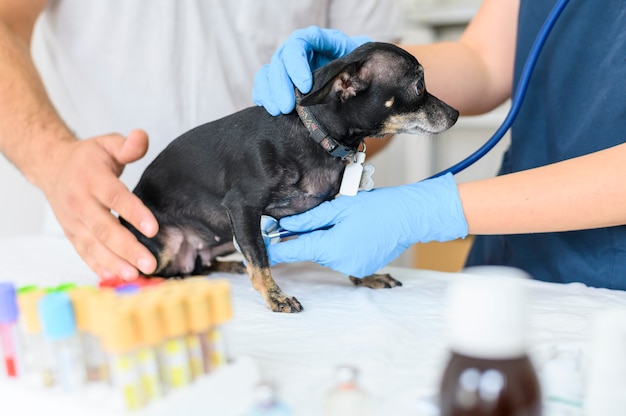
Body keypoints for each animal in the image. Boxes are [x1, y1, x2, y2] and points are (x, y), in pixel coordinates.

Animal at [119, 44, 456, 314]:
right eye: (419, 86)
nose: (455, 113)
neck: (314, 136)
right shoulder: (242, 208)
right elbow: (260, 260)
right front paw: (275, 296)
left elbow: (345, 246)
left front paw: (364, 275)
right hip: (166, 245)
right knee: (145, 274)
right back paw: (173, 279)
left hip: (223, 237)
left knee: (204, 265)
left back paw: (228, 264)